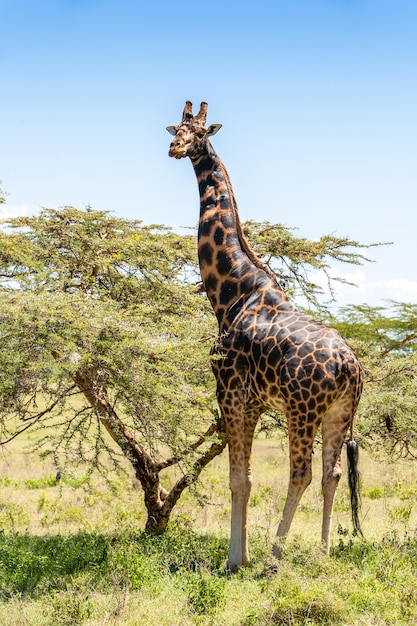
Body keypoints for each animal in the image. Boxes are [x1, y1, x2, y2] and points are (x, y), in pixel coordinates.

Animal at [167, 98, 362, 572]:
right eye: (175, 128)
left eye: (197, 132)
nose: (174, 148)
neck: (232, 291)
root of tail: (352, 366)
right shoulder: (253, 402)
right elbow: (248, 477)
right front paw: (240, 555)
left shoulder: (230, 392)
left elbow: (237, 478)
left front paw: (235, 559)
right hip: (337, 412)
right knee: (331, 473)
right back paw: (323, 552)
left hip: (301, 409)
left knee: (301, 473)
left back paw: (276, 555)